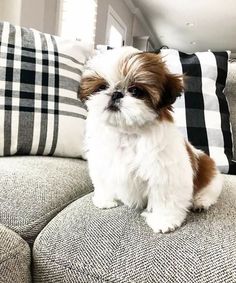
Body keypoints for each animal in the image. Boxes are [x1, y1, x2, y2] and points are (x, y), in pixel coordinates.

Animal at [79, 46, 223, 233]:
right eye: (102, 87)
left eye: (135, 91)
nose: (116, 94)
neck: (126, 133)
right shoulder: (101, 162)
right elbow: (102, 181)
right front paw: (104, 200)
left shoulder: (166, 172)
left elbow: (166, 196)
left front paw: (164, 221)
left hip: (212, 178)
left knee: (210, 191)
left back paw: (201, 202)